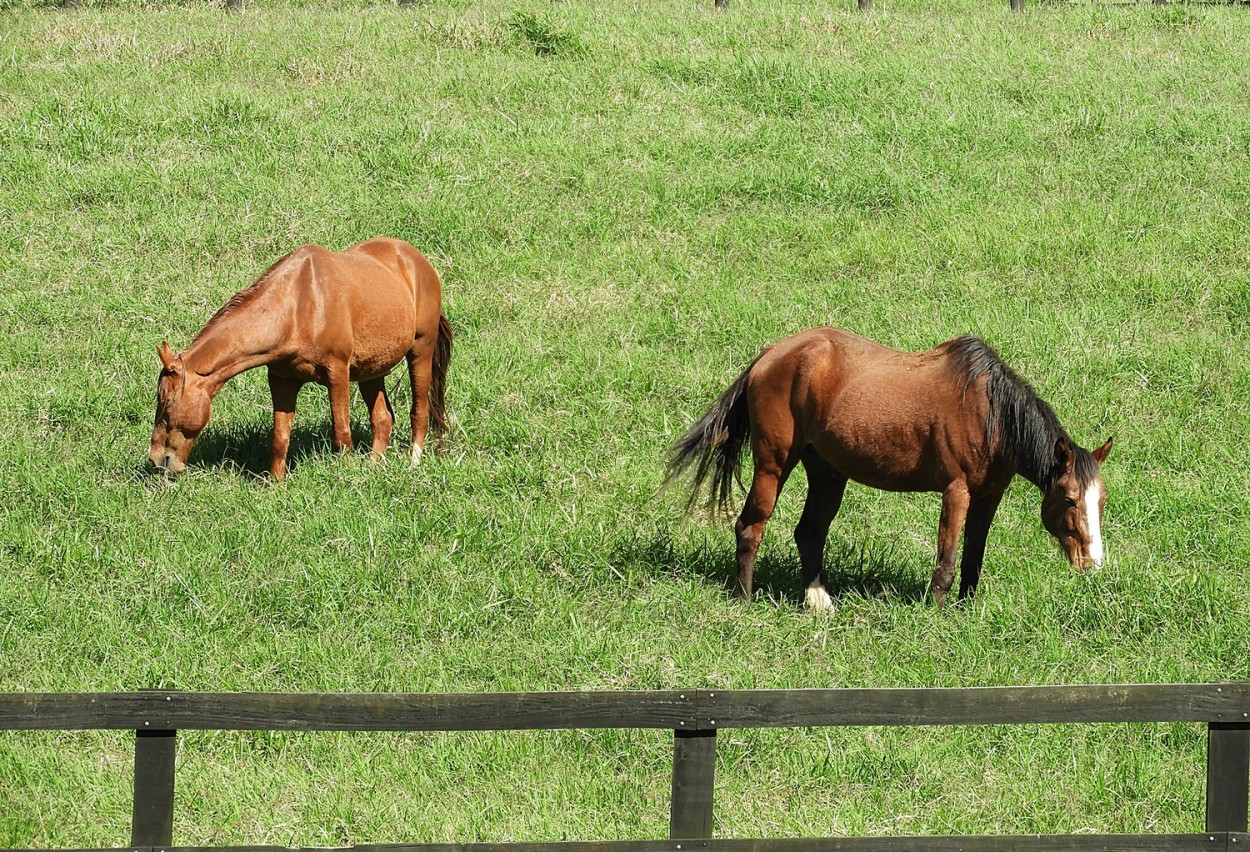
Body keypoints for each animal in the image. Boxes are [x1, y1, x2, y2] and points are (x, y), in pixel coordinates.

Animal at [150, 237, 452, 477]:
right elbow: (280, 438)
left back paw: (414, 462)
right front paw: (275, 485)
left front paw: (346, 478)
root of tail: (417, 261)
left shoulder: (337, 374)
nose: (157, 460)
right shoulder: (282, 380)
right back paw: (374, 466)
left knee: (420, 411)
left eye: (166, 404)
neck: (298, 306)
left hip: (420, 351)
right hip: (372, 369)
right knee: (383, 418)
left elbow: (341, 433)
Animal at [665, 322, 1115, 604]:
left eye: (1101, 501)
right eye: (1070, 500)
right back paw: (744, 598)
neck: (991, 414)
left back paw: (818, 601)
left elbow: (973, 558)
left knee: (809, 532)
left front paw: (966, 611)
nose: (1093, 564)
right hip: (774, 464)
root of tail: (767, 357)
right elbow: (947, 561)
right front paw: (938, 614)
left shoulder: (989, 496)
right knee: (750, 526)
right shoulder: (957, 491)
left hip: (827, 472)